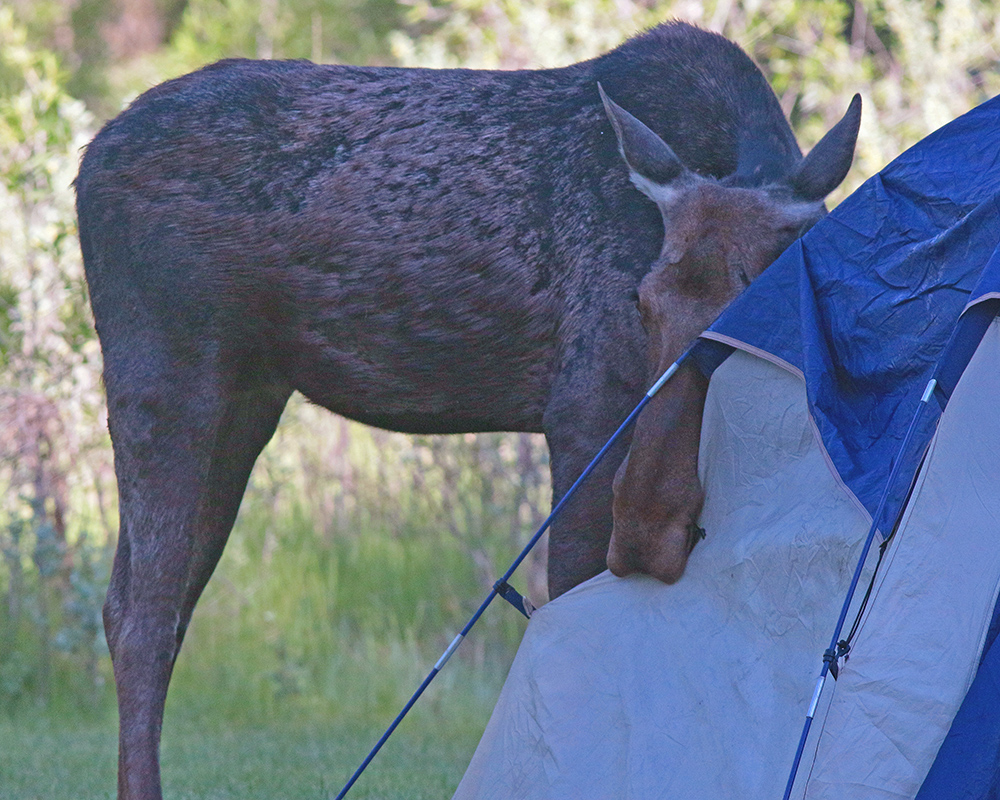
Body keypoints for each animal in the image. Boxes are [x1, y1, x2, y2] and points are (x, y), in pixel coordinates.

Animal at [78, 18, 860, 800]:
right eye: (640, 302)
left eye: (757, 307)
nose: (646, 522)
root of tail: (87, 165)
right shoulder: (584, 412)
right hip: (166, 372)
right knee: (139, 612)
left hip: (246, 397)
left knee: (159, 602)